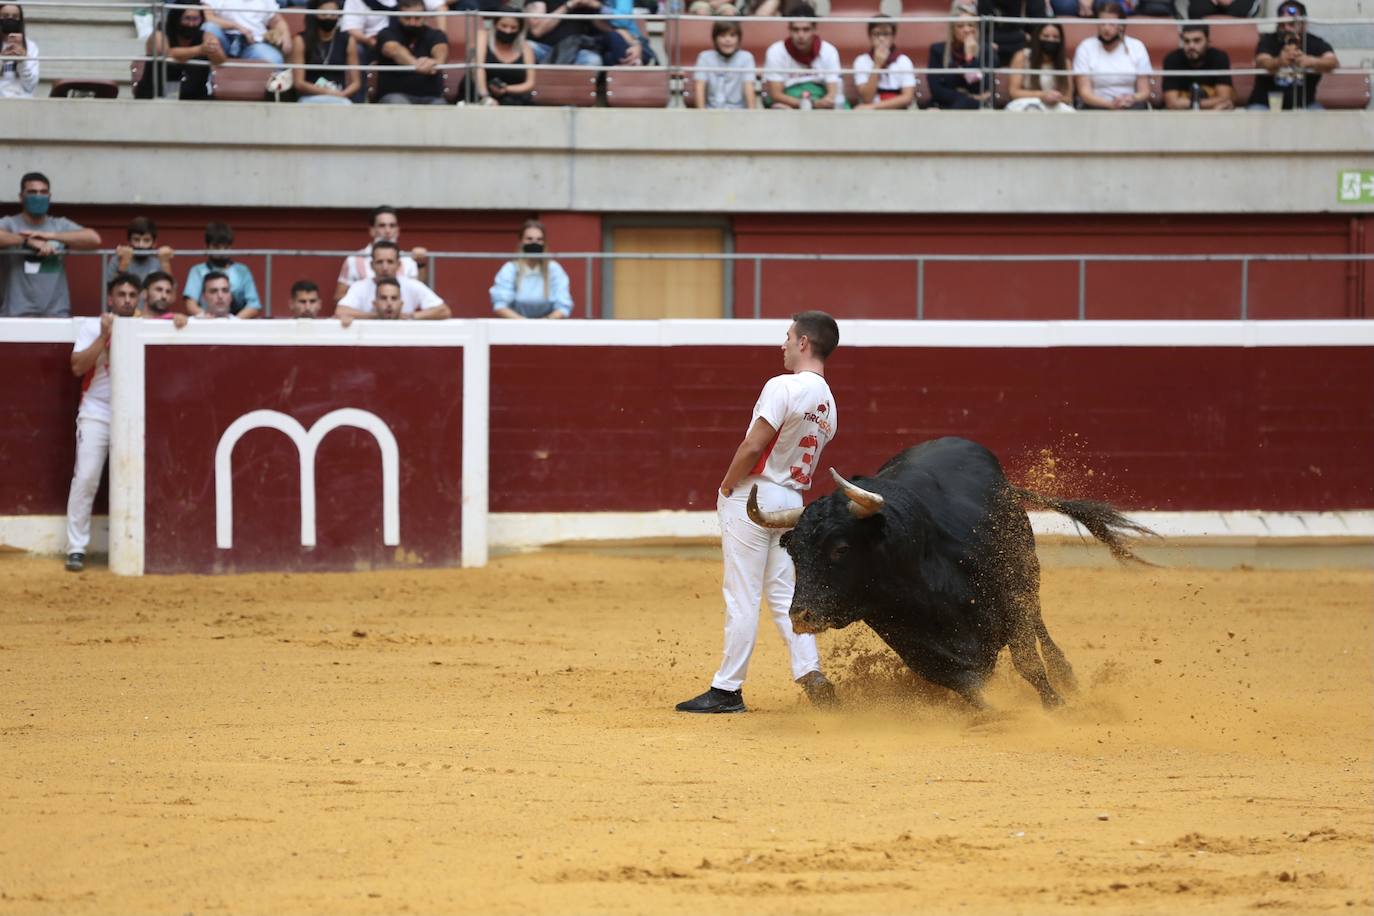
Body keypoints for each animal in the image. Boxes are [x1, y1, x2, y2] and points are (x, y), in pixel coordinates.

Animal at [747, 436, 1154, 708]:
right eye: (794, 552)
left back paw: (1067, 677)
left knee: (1038, 621)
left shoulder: (1009, 599)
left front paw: (1056, 707)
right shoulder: (911, 641)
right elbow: (966, 682)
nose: (800, 616)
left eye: (841, 548)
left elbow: (1027, 662)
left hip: (1027, 567)